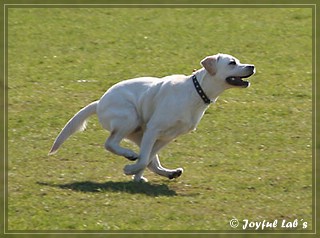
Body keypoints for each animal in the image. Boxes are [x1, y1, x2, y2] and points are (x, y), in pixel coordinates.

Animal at [49, 52, 255, 182]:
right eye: (232, 63)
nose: (252, 66)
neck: (196, 92)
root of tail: (99, 102)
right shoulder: (154, 129)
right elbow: (143, 159)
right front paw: (130, 171)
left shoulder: (167, 136)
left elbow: (147, 159)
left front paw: (135, 176)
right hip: (130, 118)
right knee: (110, 143)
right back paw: (130, 155)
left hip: (140, 134)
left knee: (148, 158)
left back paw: (167, 172)